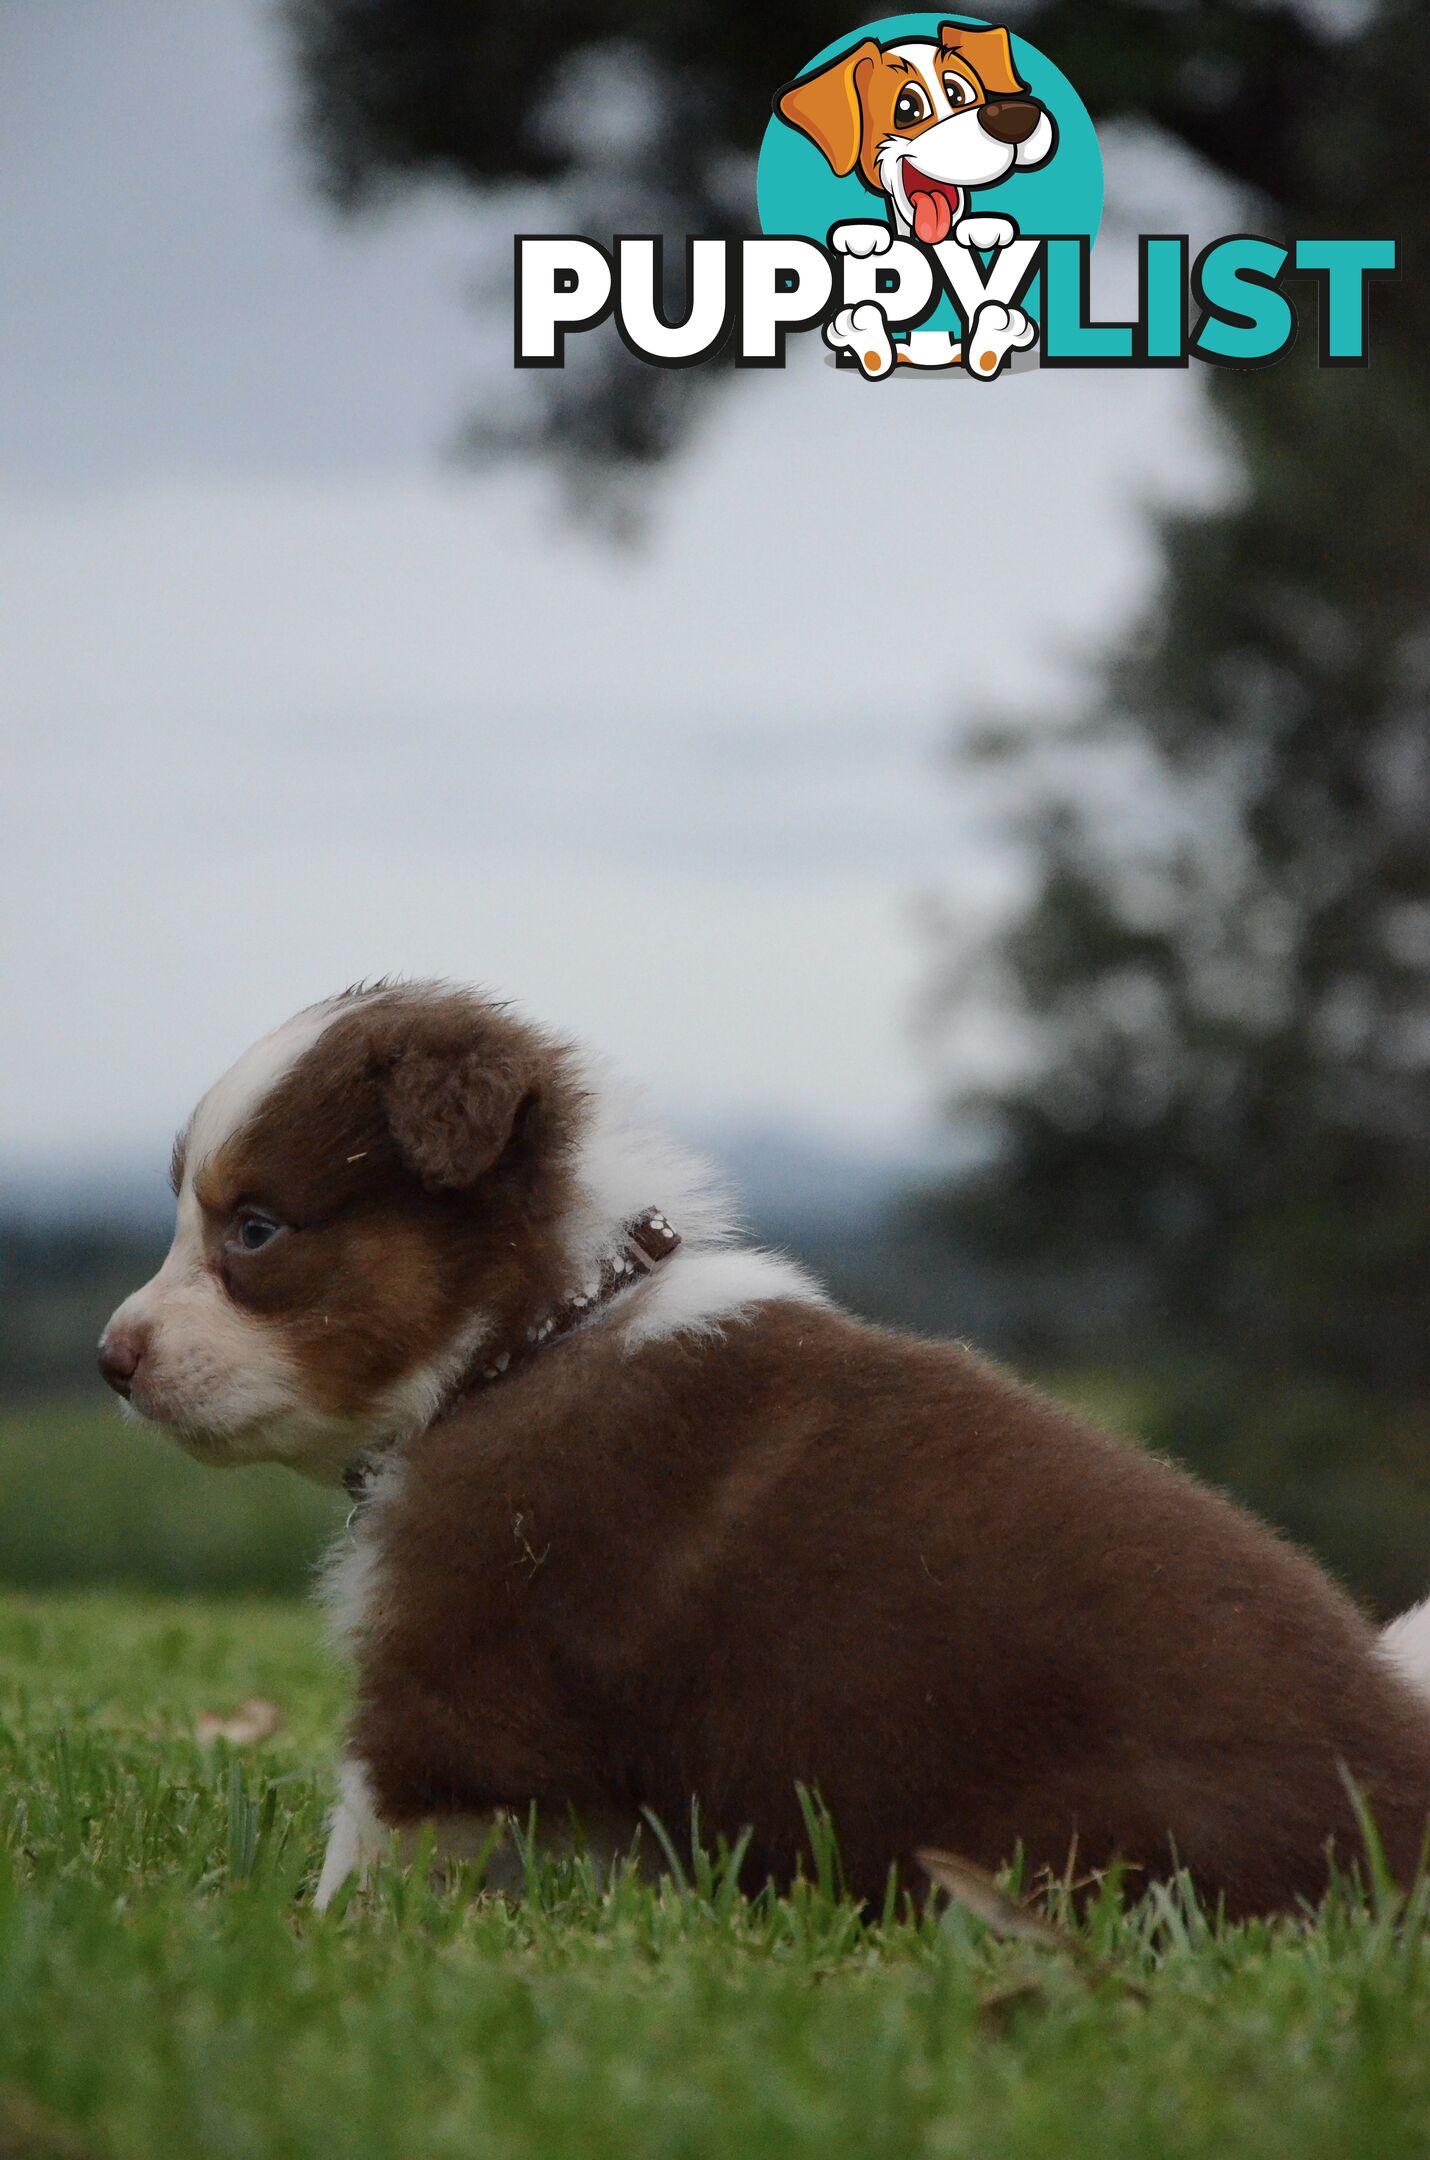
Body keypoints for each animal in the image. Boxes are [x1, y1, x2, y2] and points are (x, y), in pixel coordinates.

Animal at [100, 989, 1430, 1918]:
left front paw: (306, 1939)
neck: (528, 1338)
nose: (110, 1357)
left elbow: (371, 1837)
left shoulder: (459, 1664)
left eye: (256, 1229)